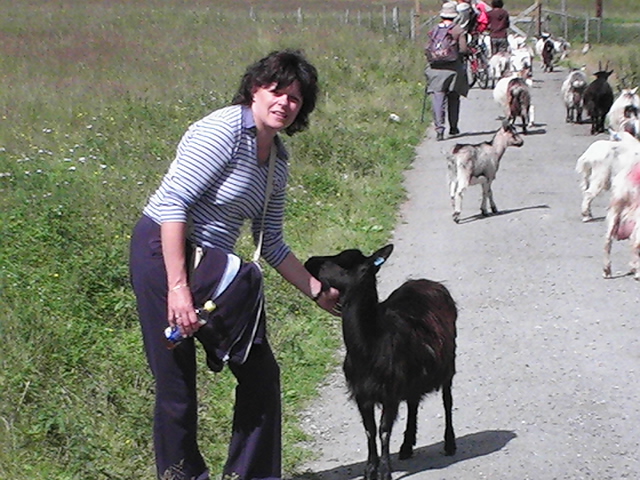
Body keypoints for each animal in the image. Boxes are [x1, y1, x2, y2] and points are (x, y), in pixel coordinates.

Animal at [304, 244, 457, 480]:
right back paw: (406, 446)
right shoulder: (362, 394)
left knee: (447, 401)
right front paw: (370, 469)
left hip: (448, 364)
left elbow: (384, 430)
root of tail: (431, 283)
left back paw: (450, 443)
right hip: (412, 376)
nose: (309, 261)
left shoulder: (390, 393)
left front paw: (384, 471)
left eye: (344, 262)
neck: (369, 344)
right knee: (413, 403)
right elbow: (370, 430)